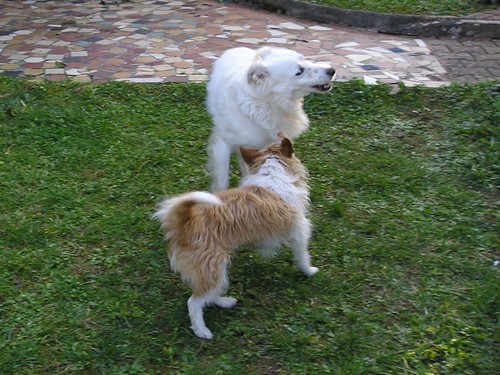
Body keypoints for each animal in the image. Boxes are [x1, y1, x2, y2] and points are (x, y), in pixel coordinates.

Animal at [152, 133, 318, 340]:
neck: (273, 172)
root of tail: (184, 223)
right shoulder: (299, 230)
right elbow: (303, 255)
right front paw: (309, 270)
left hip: (216, 269)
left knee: (209, 292)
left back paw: (224, 301)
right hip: (211, 267)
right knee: (194, 301)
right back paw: (202, 331)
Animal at [205, 46, 338, 192]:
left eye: (305, 59)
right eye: (299, 71)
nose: (332, 70)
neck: (266, 102)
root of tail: (237, 48)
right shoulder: (222, 145)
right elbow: (222, 182)